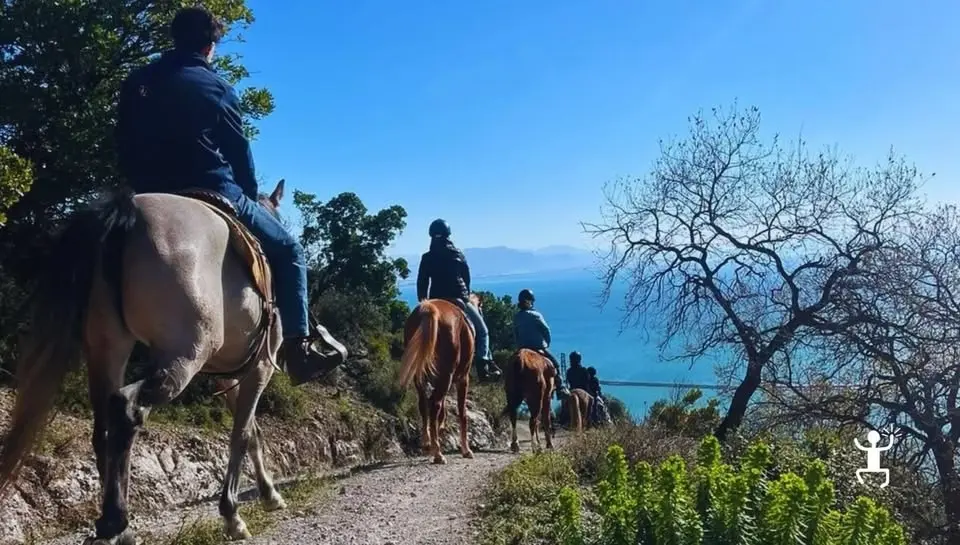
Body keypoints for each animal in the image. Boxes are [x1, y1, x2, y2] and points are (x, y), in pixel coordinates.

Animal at [0, 180, 295, 544]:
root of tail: (129, 210)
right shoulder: (260, 368)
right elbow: (241, 434)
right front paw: (233, 515)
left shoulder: (228, 376)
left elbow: (251, 431)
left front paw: (269, 494)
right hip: (182, 358)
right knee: (127, 409)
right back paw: (115, 520)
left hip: (108, 349)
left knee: (104, 428)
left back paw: (119, 526)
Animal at [398, 298, 475, 465]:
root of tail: (429, 309)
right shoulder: (463, 378)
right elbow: (462, 412)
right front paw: (466, 450)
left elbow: (443, 411)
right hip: (447, 376)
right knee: (434, 405)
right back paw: (438, 454)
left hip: (421, 376)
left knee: (424, 404)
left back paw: (428, 444)